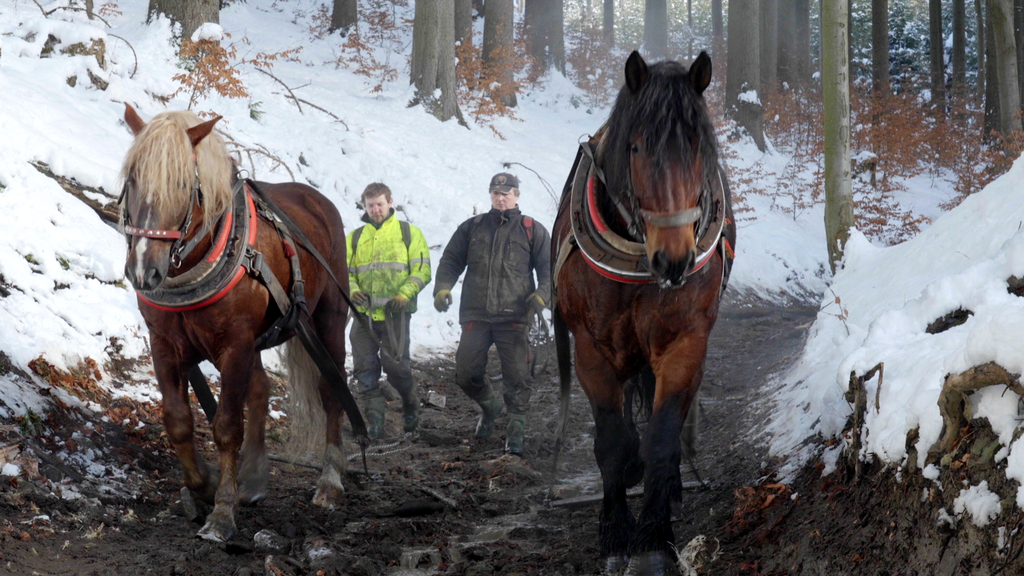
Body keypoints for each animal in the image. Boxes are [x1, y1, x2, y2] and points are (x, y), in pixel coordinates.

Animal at [119, 105, 358, 541]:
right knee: (261, 389)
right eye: (131, 180)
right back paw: (254, 475)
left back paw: (330, 479)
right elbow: (178, 422)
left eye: (184, 184)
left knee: (331, 391)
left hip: (328, 318)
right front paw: (206, 483)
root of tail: (315, 198)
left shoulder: (235, 343)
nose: (144, 270)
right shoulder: (164, 344)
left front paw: (221, 513)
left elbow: (228, 426)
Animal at [552, 51, 737, 569]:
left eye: (700, 149)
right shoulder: (590, 348)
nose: (673, 259)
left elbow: (662, 436)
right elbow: (613, 443)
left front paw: (654, 538)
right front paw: (616, 533)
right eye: (635, 149)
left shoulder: (685, 344)